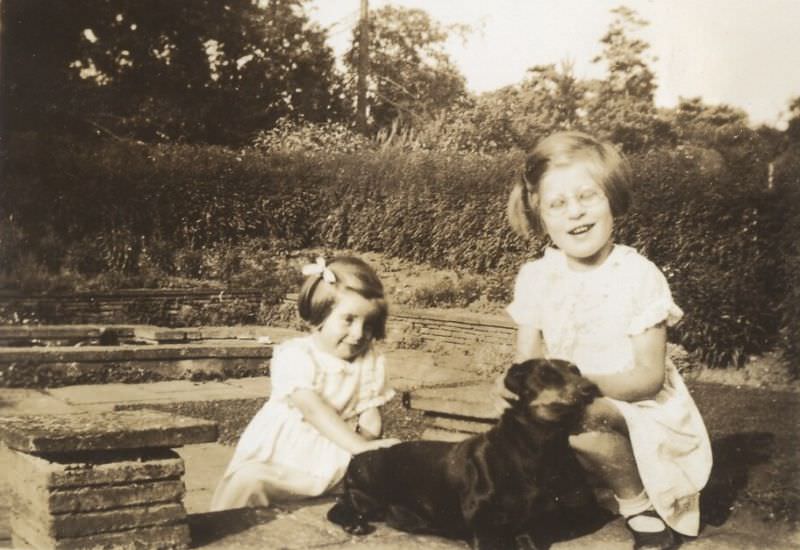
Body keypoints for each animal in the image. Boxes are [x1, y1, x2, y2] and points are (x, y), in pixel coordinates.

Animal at [328, 360, 604, 548]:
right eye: (546, 374)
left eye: (576, 371)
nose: (592, 388)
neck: (539, 450)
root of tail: (357, 457)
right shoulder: (484, 525)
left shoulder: (544, 523)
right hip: (367, 495)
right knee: (340, 507)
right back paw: (354, 523)